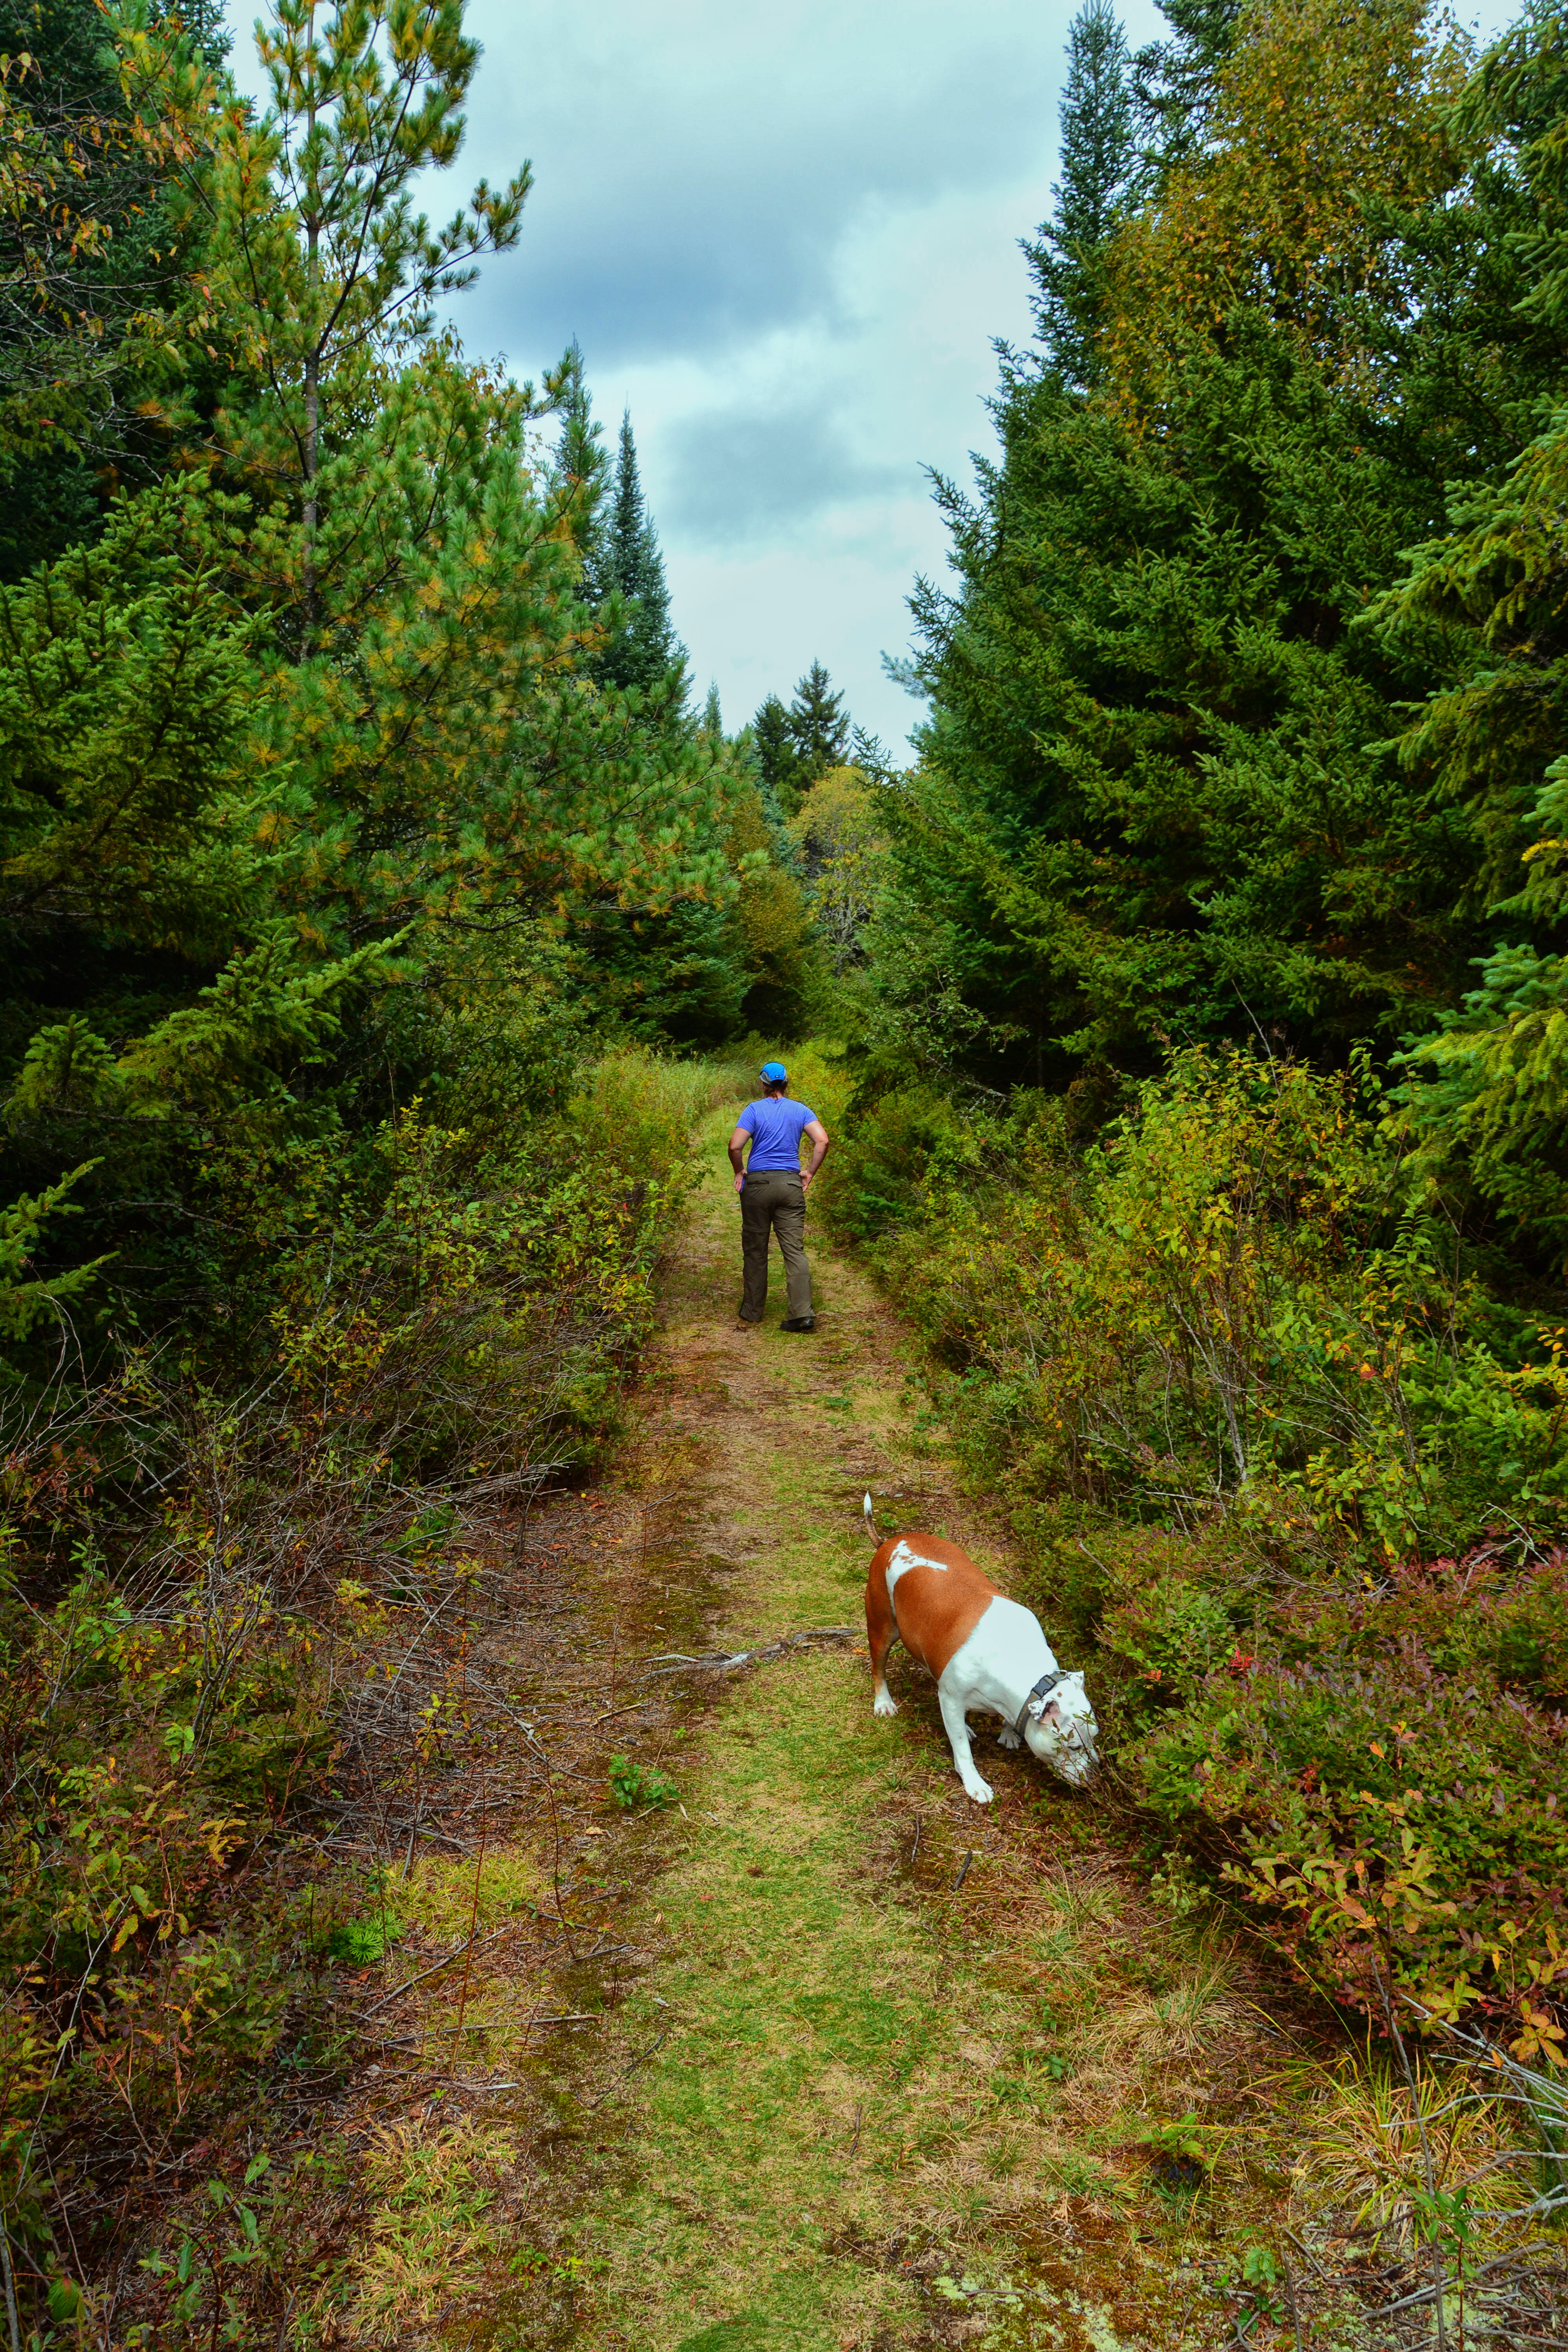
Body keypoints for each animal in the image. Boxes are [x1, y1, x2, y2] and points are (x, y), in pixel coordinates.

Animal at [860, 1496, 1105, 1806]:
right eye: (1073, 1746)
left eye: (1095, 1737)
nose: (1097, 1774)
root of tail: (889, 1542)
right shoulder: (952, 1699)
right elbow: (963, 1751)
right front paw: (974, 1783)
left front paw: (1008, 1733)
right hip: (882, 1628)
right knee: (878, 1668)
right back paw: (884, 1703)